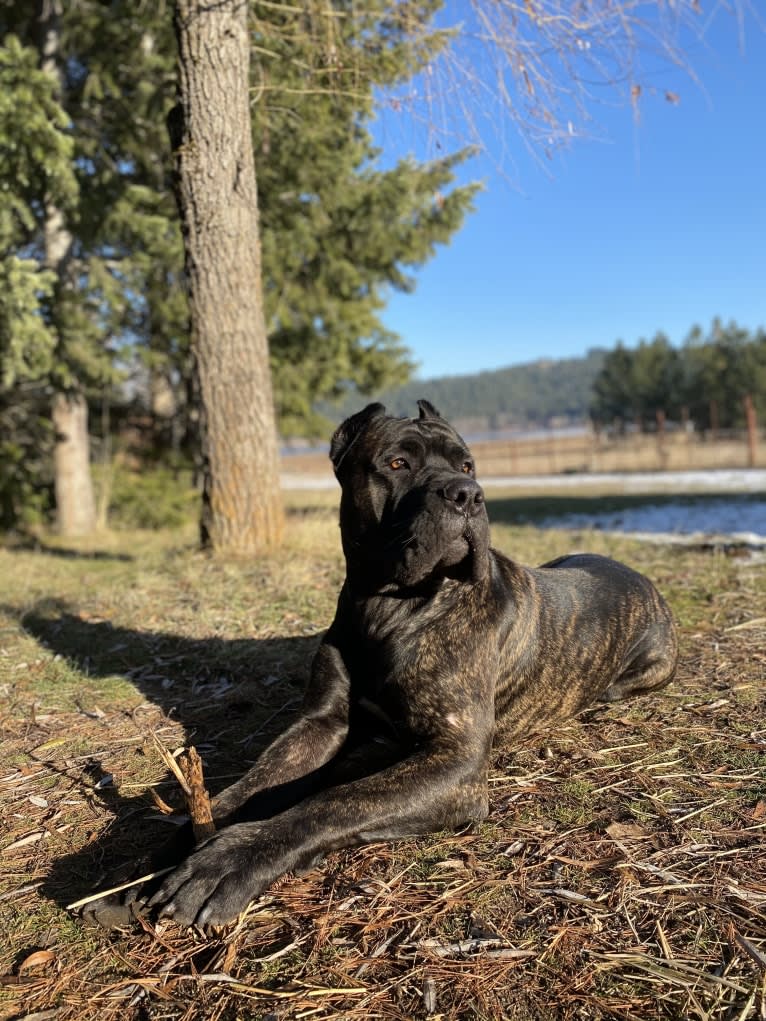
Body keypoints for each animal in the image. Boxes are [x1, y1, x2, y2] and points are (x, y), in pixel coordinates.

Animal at [83, 402, 678, 931]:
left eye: (468, 466)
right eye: (397, 463)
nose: (468, 495)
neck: (389, 605)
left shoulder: (456, 761)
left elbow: (332, 803)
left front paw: (225, 861)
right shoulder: (319, 724)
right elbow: (245, 788)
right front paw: (144, 870)